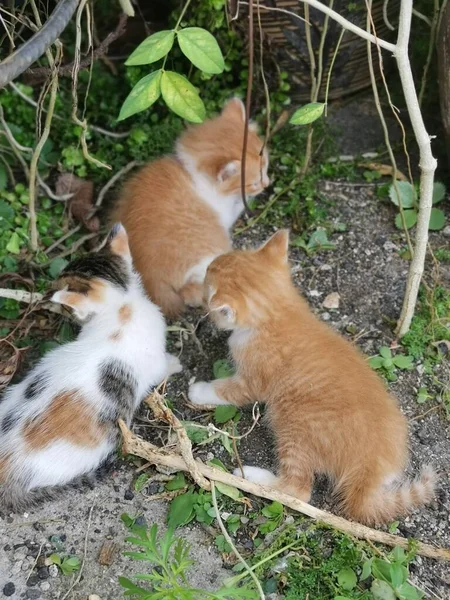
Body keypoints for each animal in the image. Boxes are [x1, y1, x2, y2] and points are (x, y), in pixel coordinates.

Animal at [189, 231, 436, 524]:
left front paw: (199, 390)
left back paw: (251, 476)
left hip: (294, 428)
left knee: (298, 489)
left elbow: (229, 390)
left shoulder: (253, 380)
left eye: (207, 284)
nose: (202, 278)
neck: (277, 312)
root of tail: (368, 469)